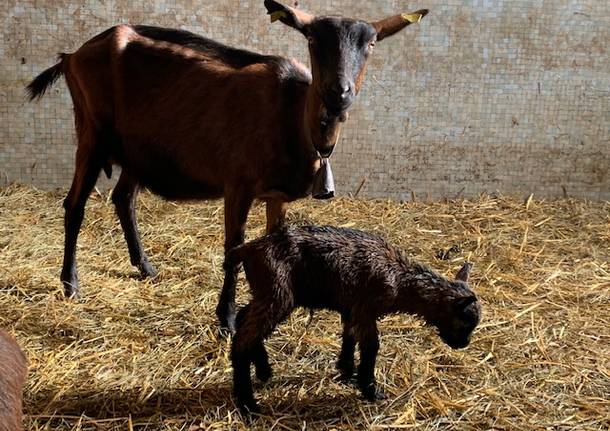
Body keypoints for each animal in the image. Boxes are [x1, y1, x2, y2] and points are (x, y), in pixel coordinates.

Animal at [27, 0, 428, 330]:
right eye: (313, 39)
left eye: (371, 44)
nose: (339, 92)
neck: (292, 116)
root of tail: (72, 55)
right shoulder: (237, 183)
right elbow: (233, 248)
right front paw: (227, 319)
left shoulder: (275, 194)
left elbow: (274, 242)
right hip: (92, 133)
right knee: (75, 205)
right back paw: (70, 284)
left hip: (137, 151)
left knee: (123, 199)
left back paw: (146, 267)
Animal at [226, 224, 478, 414]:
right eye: (465, 323)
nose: (463, 345)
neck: (400, 280)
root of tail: (247, 249)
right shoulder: (365, 309)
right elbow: (371, 347)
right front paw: (370, 389)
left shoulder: (351, 307)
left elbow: (349, 336)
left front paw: (346, 371)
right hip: (277, 293)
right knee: (244, 338)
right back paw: (248, 404)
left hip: (265, 291)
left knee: (243, 318)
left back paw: (263, 370)